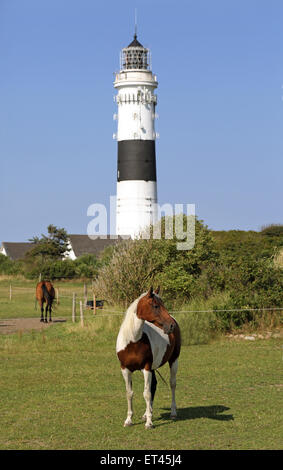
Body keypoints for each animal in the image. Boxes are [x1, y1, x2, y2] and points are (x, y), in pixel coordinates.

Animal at [117, 286, 182, 430]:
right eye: (156, 306)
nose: (171, 326)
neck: (133, 340)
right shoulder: (125, 369)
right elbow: (129, 393)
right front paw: (129, 420)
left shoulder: (146, 368)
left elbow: (146, 394)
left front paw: (149, 423)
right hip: (152, 368)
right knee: (154, 386)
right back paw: (146, 414)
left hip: (173, 361)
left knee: (172, 384)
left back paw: (173, 412)